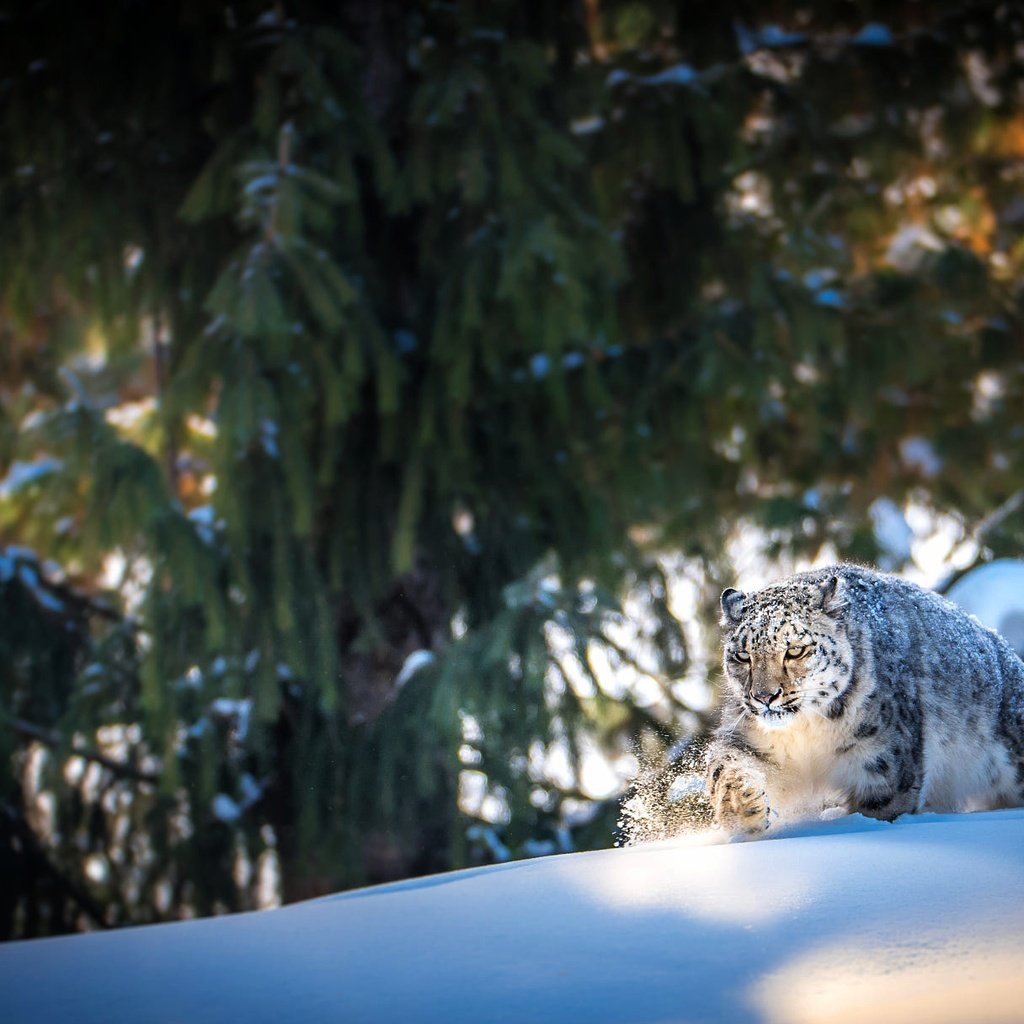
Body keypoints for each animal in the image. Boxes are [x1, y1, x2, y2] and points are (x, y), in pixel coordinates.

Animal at [704, 565, 1024, 835]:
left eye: (795, 650)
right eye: (742, 656)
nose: (764, 697)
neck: (807, 730)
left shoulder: (881, 764)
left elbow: (881, 809)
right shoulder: (749, 738)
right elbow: (724, 765)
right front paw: (742, 804)